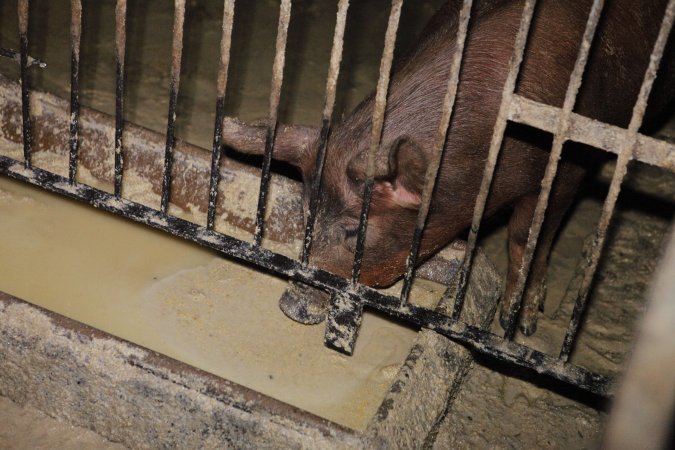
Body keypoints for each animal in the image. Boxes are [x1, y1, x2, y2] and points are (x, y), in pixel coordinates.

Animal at [223, 0, 675, 336]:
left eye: (353, 231)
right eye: (304, 215)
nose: (291, 304)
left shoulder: (572, 162)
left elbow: (527, 234)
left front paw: (518, 323)